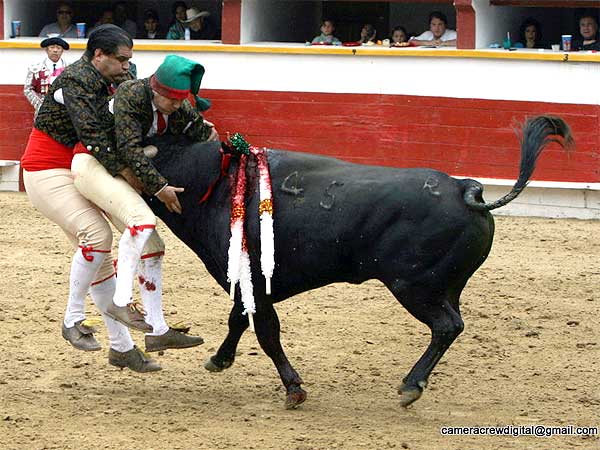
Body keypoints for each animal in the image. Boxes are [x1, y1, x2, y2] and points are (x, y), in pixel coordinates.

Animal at [144, 115, 572, 408]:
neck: (215, 181)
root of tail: (466, 189)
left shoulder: (256, 282)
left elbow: (266, 332)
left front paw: (293, 389)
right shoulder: (247, 282)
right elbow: (239, 319)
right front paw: (219, 360)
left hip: (414, 286)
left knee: (447, 325)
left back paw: (410, 386)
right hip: (446, 285)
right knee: (451, 325)